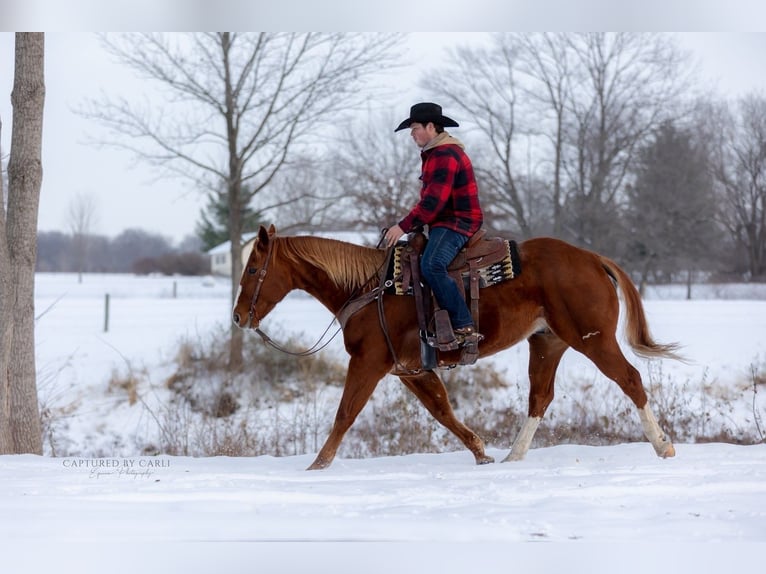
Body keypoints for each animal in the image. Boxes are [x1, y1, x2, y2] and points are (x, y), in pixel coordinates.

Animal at [233, 224, 681, 470]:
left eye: (253, 269)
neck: (371, 288)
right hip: (547, 343)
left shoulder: (369, 362)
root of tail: (592, 257)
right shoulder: (410, 370)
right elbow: (442, 410)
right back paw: (512, 457)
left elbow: (345, 414)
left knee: (630, 379)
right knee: (540, 397)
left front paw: (317, 465)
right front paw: (481, 452)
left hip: (594, 339)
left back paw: (663, 445)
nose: (238, 317)